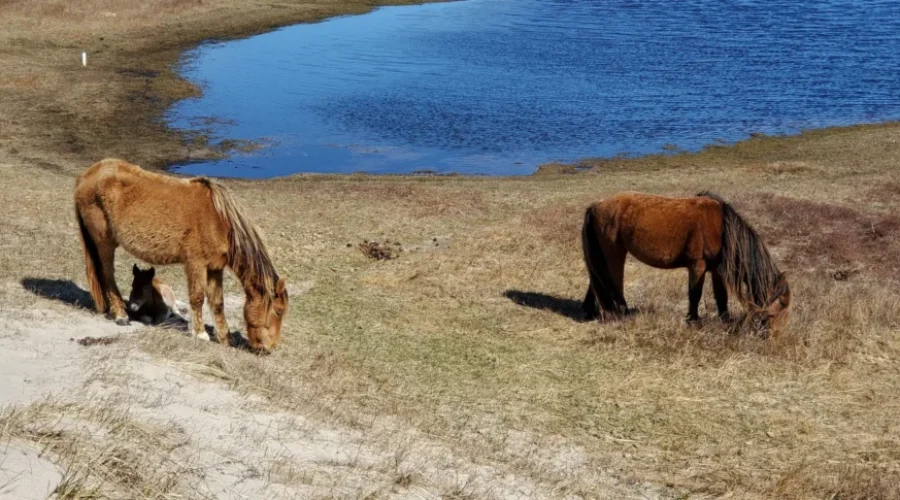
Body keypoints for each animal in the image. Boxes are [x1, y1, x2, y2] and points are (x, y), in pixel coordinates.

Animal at [74, 158, 289, 352]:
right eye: (278, 311)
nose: (269, 348)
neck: (218, 220)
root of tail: (87, 175)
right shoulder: (196, 264)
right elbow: (198, 297)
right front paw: (201, 334)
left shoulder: (214, 268)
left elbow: (217, 303)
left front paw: (225, 339)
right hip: (104, 243)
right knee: (108, 275)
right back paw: (120, 315)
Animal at [581, 191, 791, 336]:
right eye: (781, 303)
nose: (773, 335)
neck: (721, 228)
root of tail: (597, 205)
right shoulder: (697, 266)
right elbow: (695, 294)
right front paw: (693, 320)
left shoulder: (716, 270)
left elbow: (721, 296)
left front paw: (725, 320)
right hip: (614, 254)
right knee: (613, 282)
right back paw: (622, 312)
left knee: (597, 280)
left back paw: (591, 311)